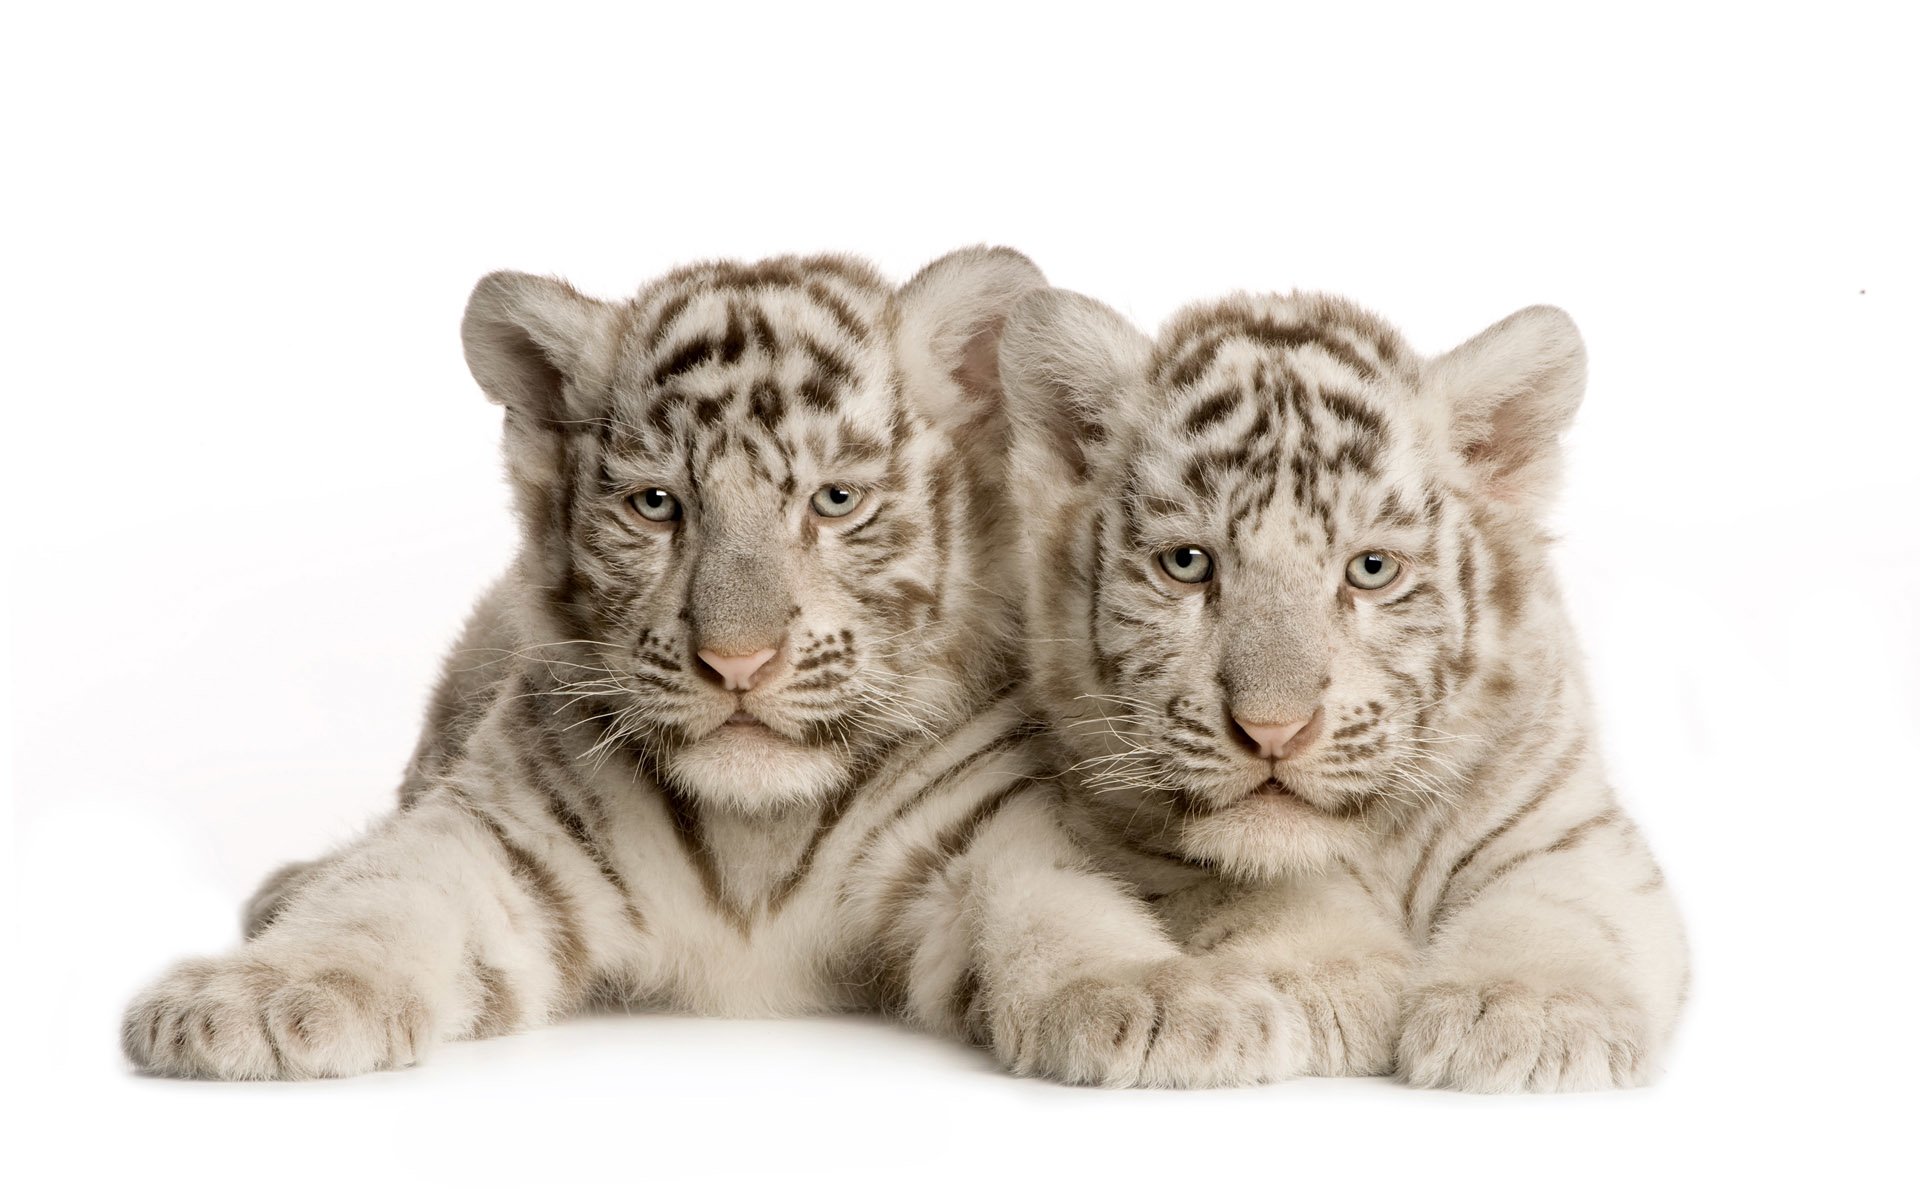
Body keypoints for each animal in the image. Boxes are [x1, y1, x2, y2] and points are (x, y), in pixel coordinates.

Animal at [121, 249, 1287, 1085]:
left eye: (833, 501)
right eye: (656, 506)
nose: (737, 659)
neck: (754, 837)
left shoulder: (986, 836)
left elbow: (1063, 910)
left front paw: (1163, 1001)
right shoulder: (500, 831)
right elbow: (383, 897)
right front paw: (256, 998)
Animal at [989, 285, 1690, 1091]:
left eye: (1371, 569)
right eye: (1187, 563)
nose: (1273, 730)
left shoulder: (1569, 822)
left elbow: (1565, 905)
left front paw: (1531, 1014)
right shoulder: (1122, 832)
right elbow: (1257, 889)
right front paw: (1329, 981)